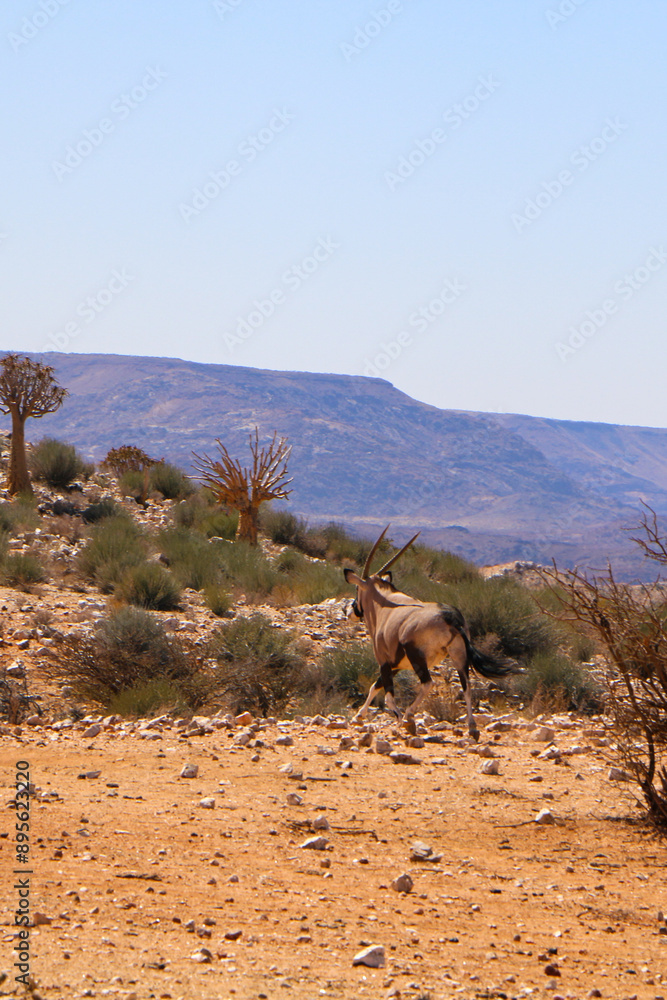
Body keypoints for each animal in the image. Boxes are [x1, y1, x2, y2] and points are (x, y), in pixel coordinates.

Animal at [343, 527, 513, 740]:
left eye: (356, 588)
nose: (350, 611)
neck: (383, 603)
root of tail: (450, 617)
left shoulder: (384, 661)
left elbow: (388, 695)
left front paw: (398, 719)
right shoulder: (396, 665)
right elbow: (375, 686)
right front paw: (358, 716)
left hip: (418, 657)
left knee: (427, 683)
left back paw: (409, 716)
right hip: (459, 655)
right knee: (466, 686)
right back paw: (472, 727)